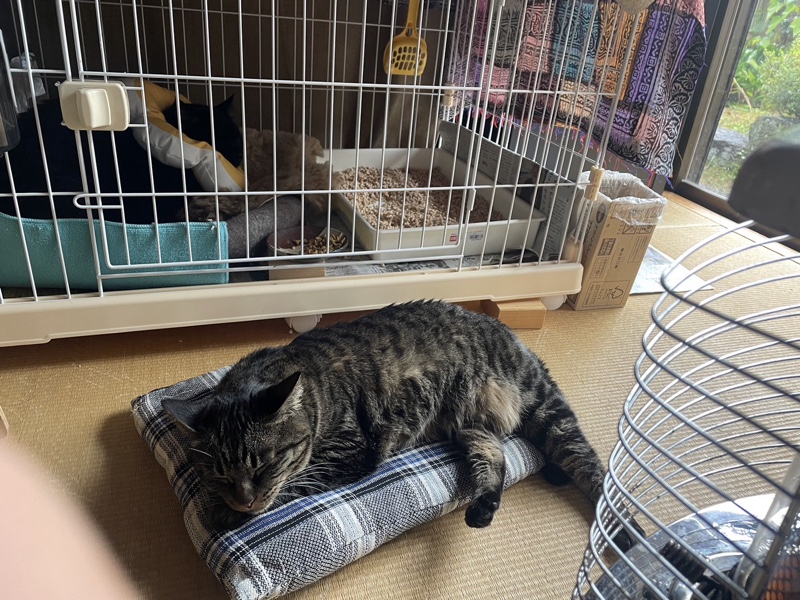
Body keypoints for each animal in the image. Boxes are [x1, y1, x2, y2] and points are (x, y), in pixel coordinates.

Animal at [163, 300, 641, 549]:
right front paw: (223, 504)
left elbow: (296, 482)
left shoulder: (351, 450)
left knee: (591, 466)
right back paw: (483, 507)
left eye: (264, 463)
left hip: (548, 411)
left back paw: (625, 531)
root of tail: (516, 338)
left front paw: (224, 512)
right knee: (495, 456)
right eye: (217, 472)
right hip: (474, 425)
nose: (244, 500)